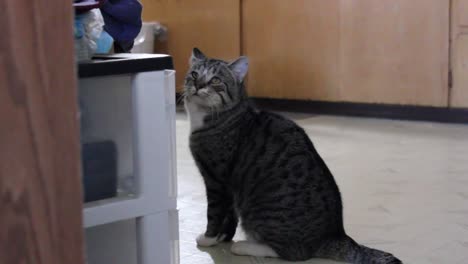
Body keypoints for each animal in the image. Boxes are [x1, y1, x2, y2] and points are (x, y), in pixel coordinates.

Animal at [183, 48, 402, 264]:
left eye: (215, 80)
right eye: (194, 74)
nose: (198, 85)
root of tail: (333, 235)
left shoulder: (216, 180)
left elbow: (215, 213)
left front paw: (209, 238)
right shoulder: (228, 190)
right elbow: (230, 217)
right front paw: (223, 237)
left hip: (264, 214)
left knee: (294, 253)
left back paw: (245, 246)